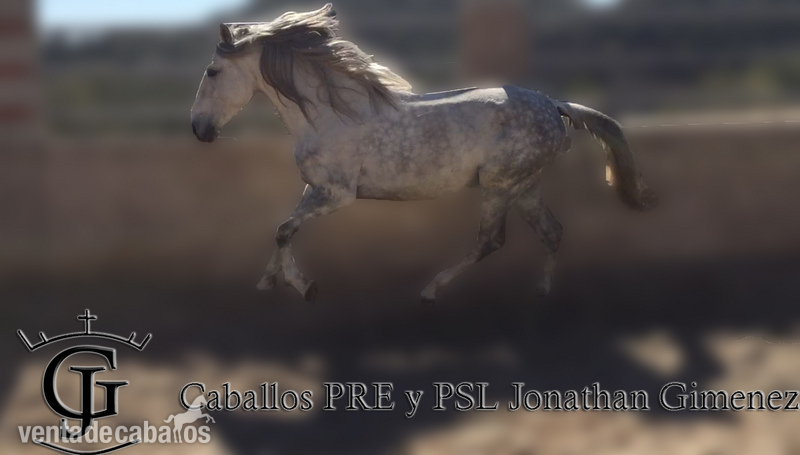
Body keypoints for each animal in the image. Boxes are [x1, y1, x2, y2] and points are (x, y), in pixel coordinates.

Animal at [190, 4, 657, 303]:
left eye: (212, 71)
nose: (199, 129)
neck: (330, 114)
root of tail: (555, 106)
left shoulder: (337, 195)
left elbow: (285, 230)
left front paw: (305, 287)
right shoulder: (315, 189)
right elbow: (282, 229)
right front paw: (269, 282)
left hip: (499, 185)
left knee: (491, 241)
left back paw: (431, 289)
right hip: (525, 186)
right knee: (552, 231)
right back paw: (542, 291)